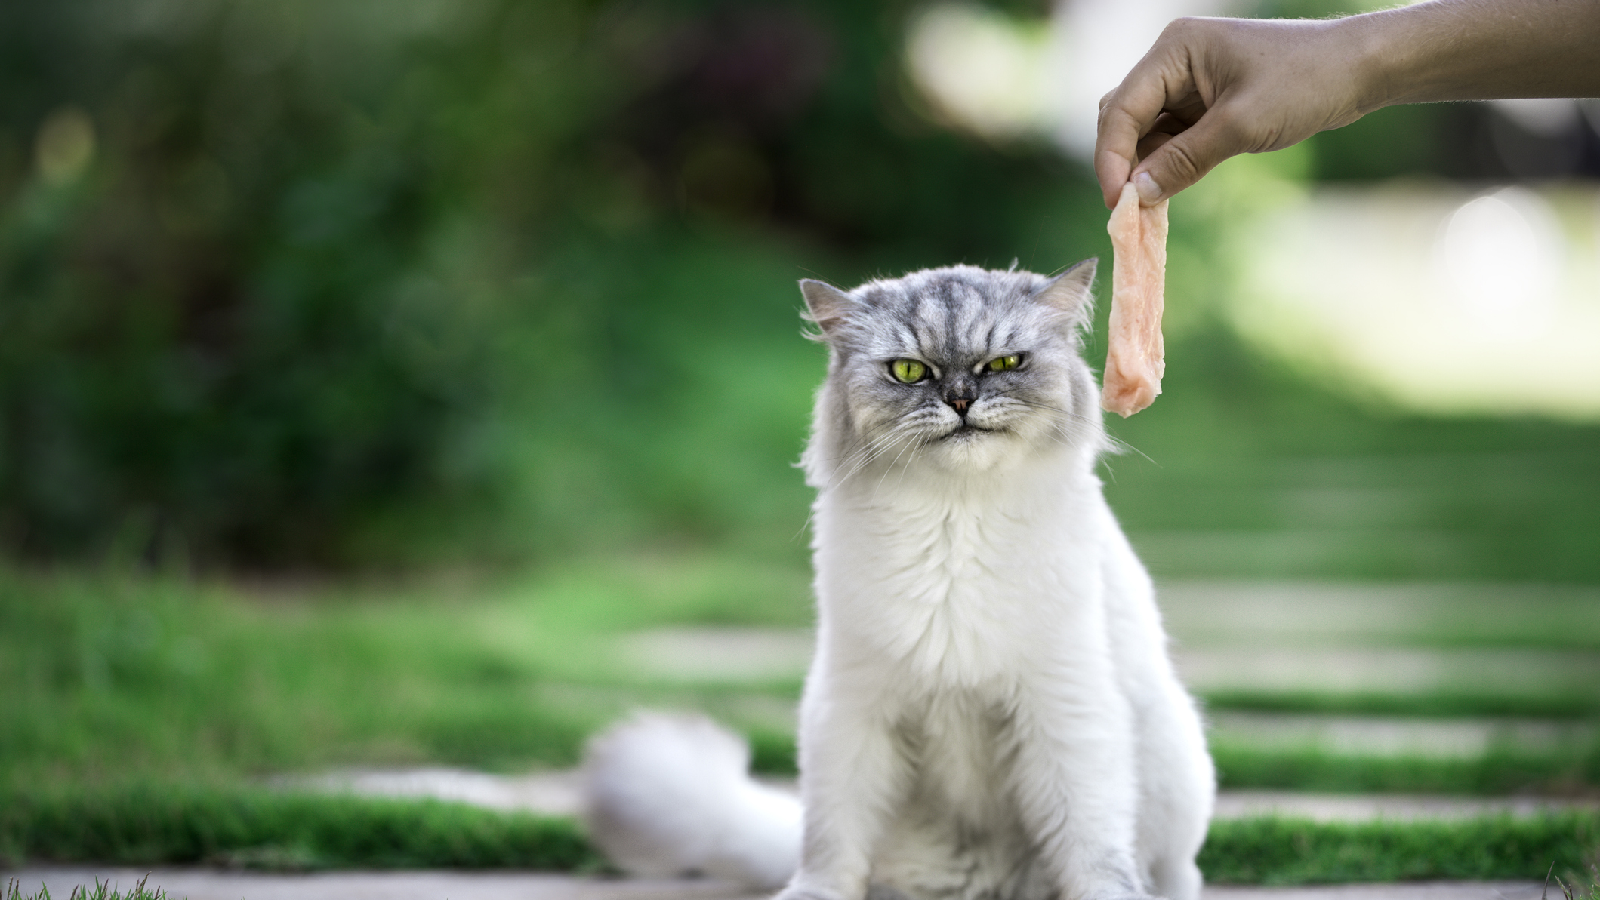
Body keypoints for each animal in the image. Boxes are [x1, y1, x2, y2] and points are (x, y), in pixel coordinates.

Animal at [585, 259, 1209, 896]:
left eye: (1004, 364)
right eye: (910, 371)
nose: (960, 399)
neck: (955, 521)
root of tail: (993, 884)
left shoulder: (1065, 703)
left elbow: (1092, 846)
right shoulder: (854, 706)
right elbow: (830, 846)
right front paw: (813, 893)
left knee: (1174, 871)